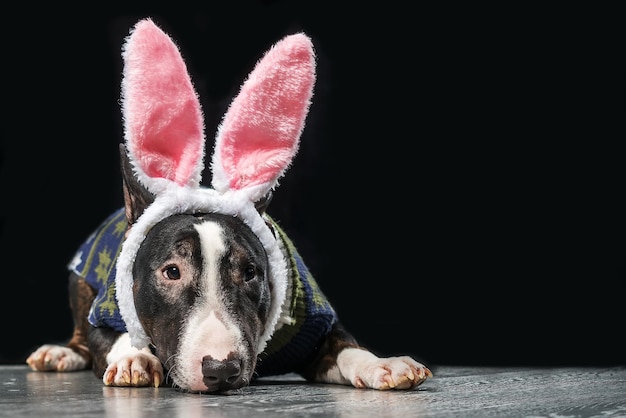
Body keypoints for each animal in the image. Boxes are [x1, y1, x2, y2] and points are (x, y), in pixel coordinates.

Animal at [26, 17, 432, 396]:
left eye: (250, 272)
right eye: (171, 272)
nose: (221, 370)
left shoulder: (317, 327)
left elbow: (348, 347)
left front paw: (384, 364)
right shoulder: (107, 310)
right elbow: (113, 337)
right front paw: (134, 358)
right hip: (80, 285)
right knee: (79, 336)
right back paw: (60, 353)